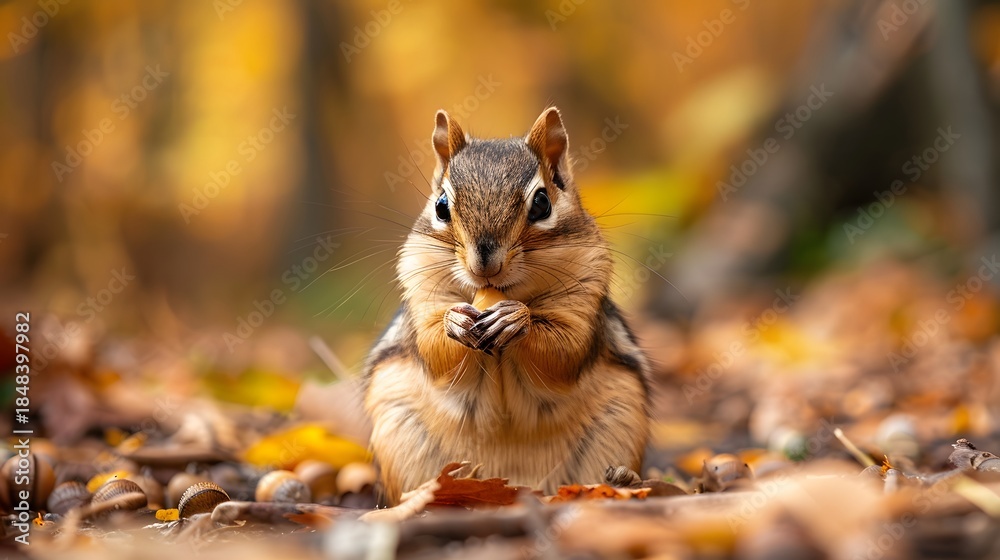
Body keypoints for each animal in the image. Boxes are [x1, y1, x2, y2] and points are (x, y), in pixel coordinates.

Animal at [363, 107, 650, 505]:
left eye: (542, 203)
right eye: (441, 205)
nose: (485, 263)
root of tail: (512, 485)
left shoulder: (583, 298)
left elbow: (566, 349)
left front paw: (516, 319)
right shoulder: (422, 296)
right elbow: (434, 348)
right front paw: (454, 322)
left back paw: (623, 481)